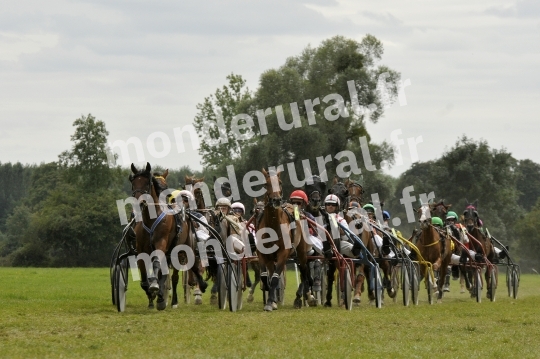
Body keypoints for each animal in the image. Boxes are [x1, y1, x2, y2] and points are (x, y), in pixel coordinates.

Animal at [256, 169, 308, 312]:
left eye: (279, 182)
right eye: (266, 183)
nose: (276, 200)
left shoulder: (283, 254)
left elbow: (275, 278)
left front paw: (269, 302)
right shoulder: (262, 254)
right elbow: (265, 276)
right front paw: (271, 299)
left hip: (302, 253)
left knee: (304, 271)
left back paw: (301, 298)